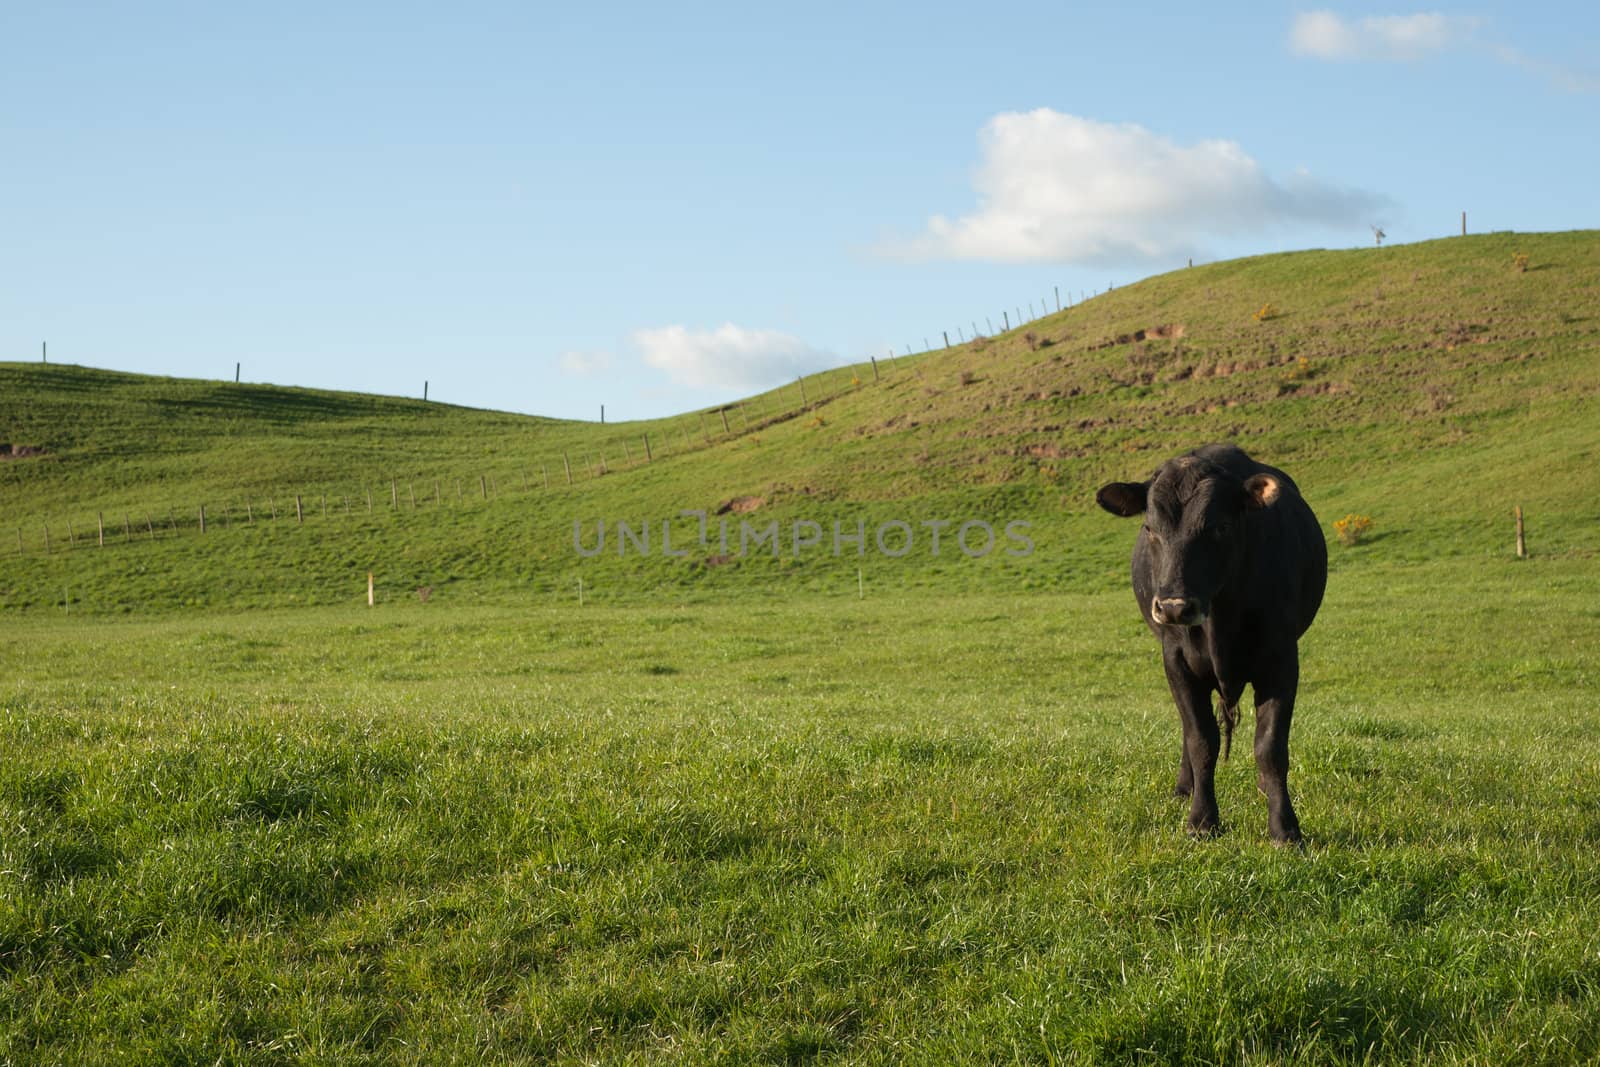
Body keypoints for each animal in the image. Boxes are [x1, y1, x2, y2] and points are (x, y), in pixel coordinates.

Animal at [1094, 444, 1331, 844]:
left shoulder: (1281, 659)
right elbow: (1201, 741)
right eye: (1150, 528)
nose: (1174, 606)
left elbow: (1270, 746)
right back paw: (1185, 787)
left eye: (1219, 527)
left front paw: (1284, 827)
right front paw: (1202, 820)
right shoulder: (1176, 662)